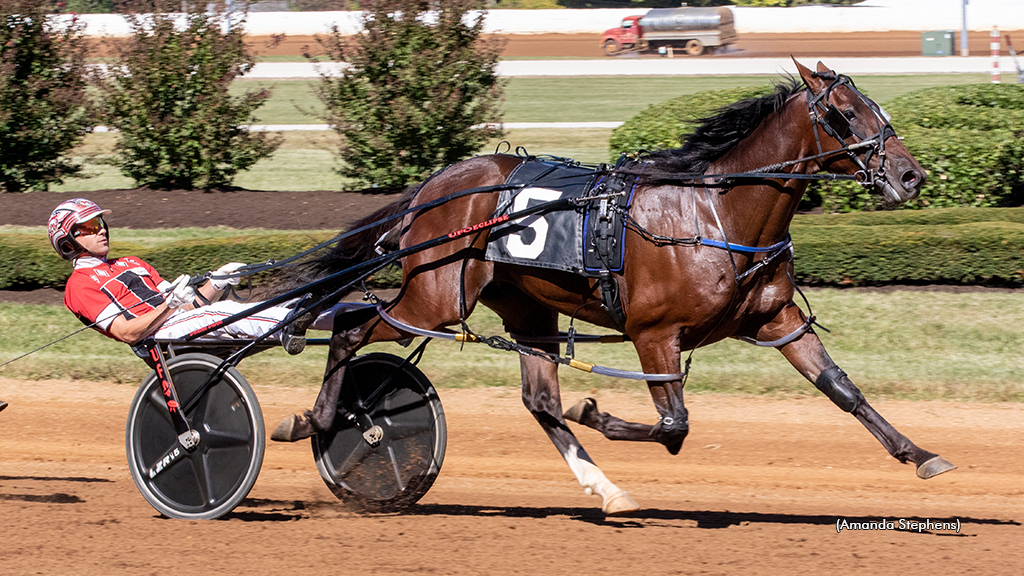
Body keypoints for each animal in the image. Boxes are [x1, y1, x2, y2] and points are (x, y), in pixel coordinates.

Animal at [270, 60, 950, 512]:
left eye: (878, 110)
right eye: (844, 115)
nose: (911, 176)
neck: (715, 214)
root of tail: (436, 185)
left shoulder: (777, 319)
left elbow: (842, 390)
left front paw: (920, 455)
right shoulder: (655, 334)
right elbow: (674, 425)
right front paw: (595, 409)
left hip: (525, 308)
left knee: (539, 401)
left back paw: (606, 488)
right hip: (435, 295)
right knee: (350, 327)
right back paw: (317, 422)